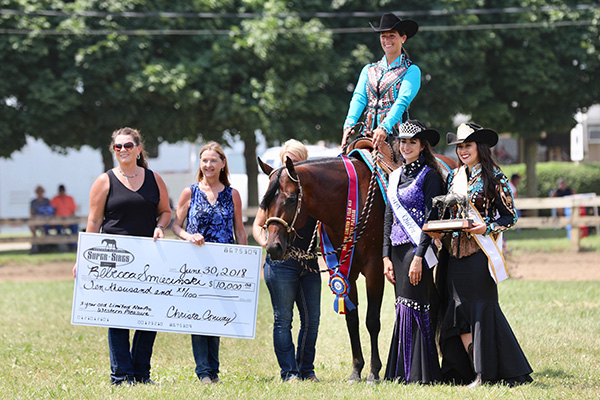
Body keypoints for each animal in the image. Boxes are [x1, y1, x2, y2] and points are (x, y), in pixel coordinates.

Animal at [256, 152, 454, 382]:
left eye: (290, 199)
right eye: (265, 203)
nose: (273, 247)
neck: (348, 204)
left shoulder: (375, 269)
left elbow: (372, 321)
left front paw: (374, 372)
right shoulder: (345, 273)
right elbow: (352, 320)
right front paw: (357, 370)